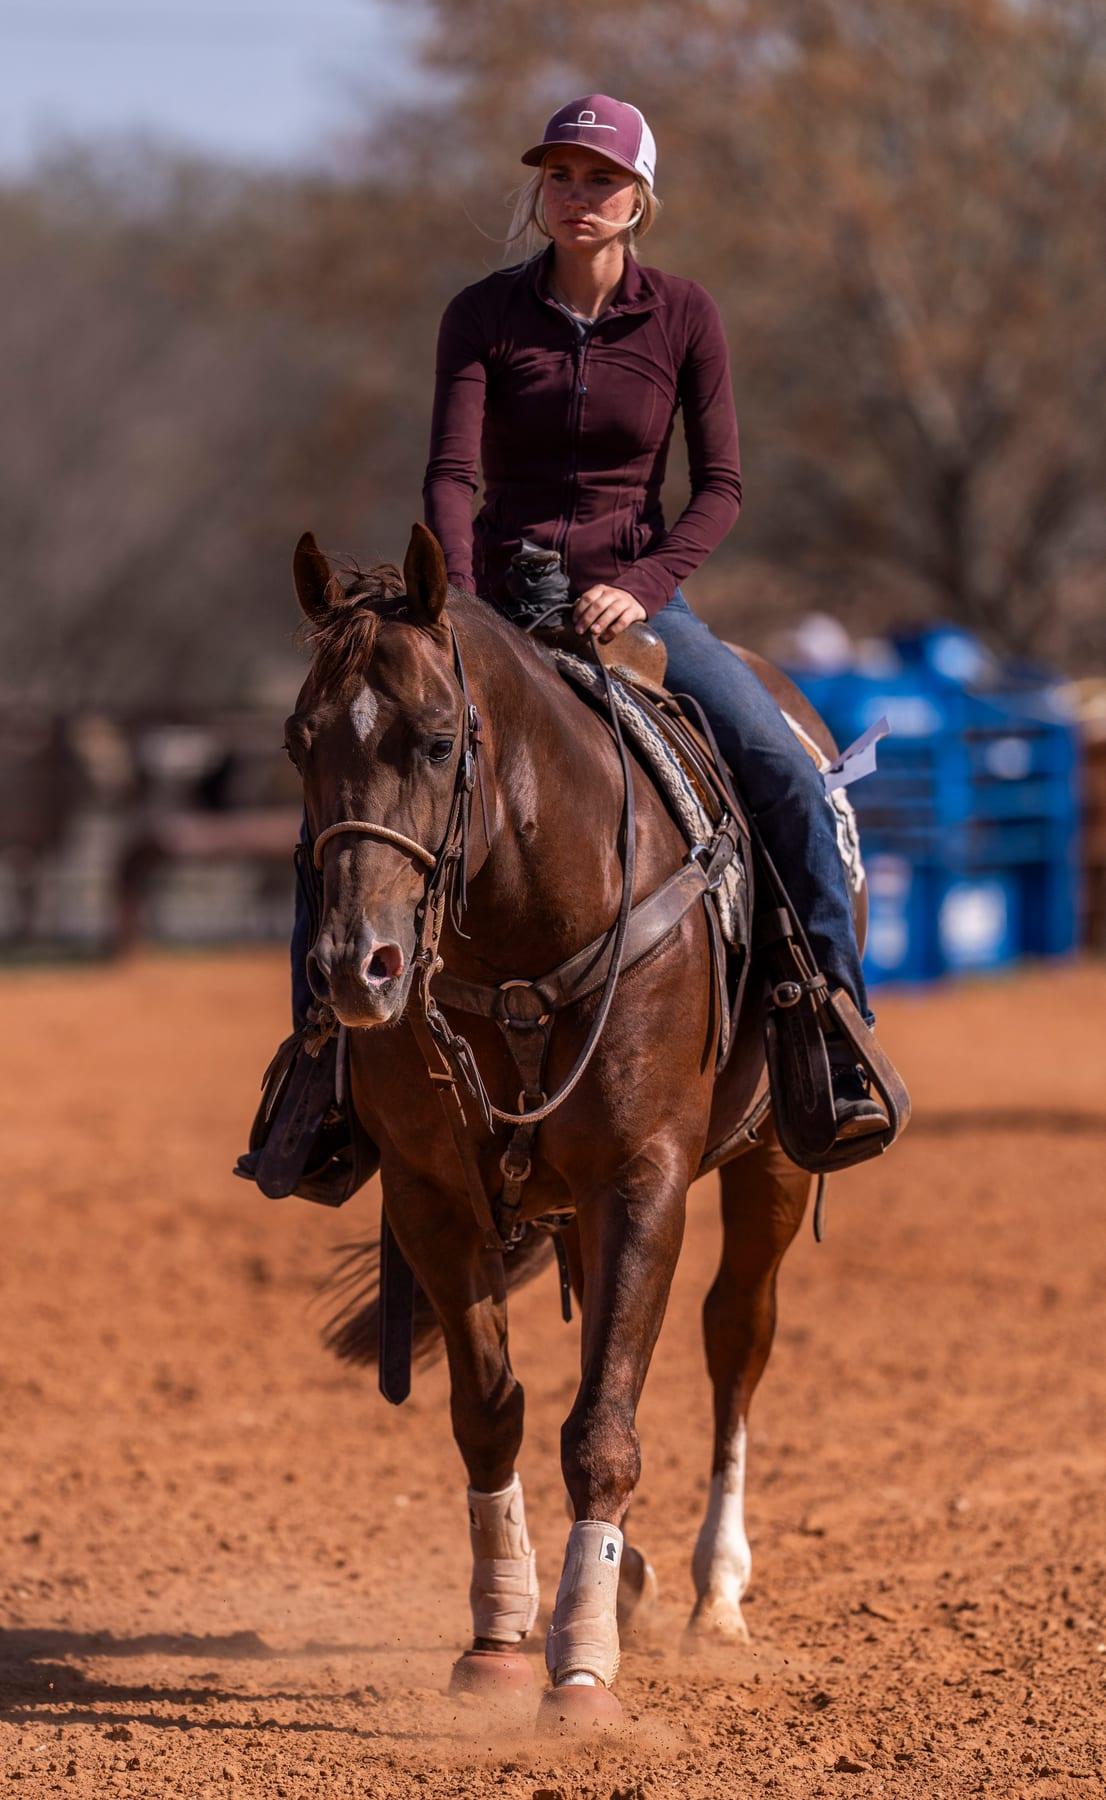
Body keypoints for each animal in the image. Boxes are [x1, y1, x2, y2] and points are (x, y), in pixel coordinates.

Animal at [285, 521, 865, 1731]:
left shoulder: (643, 1180)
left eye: (437, 741)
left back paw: (711, 1594)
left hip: (774, 1164)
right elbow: (489, 1412)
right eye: (295, 741)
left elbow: (602, 1431)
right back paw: (623, 1579)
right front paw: (501, 1644)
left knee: (736, 1335)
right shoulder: (433, 1194)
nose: (356, 968)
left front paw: (582, 1673)